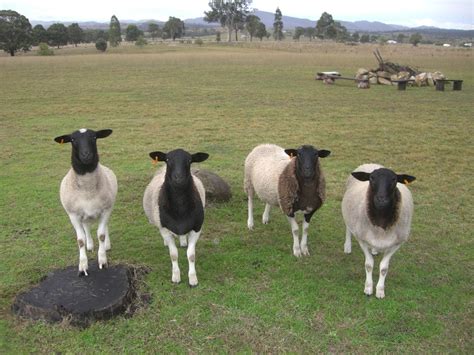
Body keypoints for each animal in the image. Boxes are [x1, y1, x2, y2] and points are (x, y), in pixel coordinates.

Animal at [52, 129, 116, 276]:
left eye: (94, 137)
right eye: (73, 139)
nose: (86, 155)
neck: (88, 190)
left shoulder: (105, 210)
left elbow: (101, 235)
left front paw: (102, 260)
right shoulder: (73, 215)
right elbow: (80, 240)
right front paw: (82, 266)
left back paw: (106, 245)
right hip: (83, 215)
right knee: (86, 226)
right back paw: (90, 245)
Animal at [143, 149, 208, 288]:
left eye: (189, 160)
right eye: (168, 160)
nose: (179, 178)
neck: (180, 207)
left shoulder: (197, 228)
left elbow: (191, 255)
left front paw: (193, 279)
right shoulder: (165, 229)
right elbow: (173, 255)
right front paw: (176, 277)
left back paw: (183, 242)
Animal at [340, 164, 414, 298]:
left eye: (394, 179)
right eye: (371, 178)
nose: (381, 200)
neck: (381, 221)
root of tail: (372, 164)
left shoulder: (397, 244)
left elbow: (384, 268)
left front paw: (380, 290)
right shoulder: (362, 239)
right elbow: (369, 265)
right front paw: (368, 288)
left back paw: (374, 250)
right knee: (348, 228)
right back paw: (347, 247)